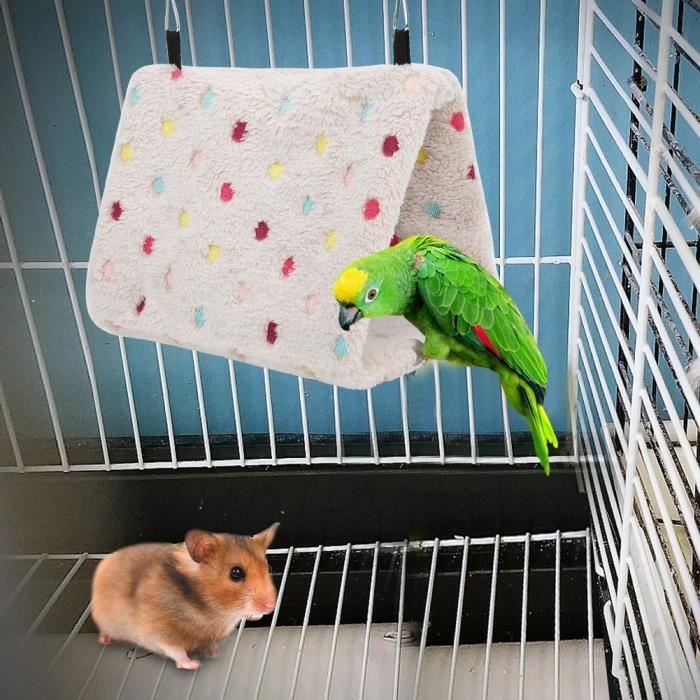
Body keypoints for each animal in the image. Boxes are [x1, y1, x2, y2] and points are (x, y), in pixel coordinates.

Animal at [91, 523, 279, 670]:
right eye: (236, 573)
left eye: (267, 568)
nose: (270, 606)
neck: (214, 611)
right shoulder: (158, 632)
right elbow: (176, 651)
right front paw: (193, 665)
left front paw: (214, 653)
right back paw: (104, 640)